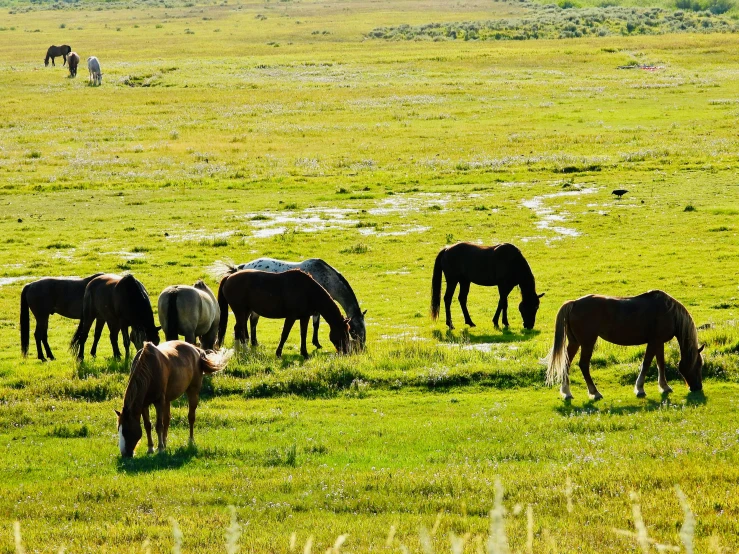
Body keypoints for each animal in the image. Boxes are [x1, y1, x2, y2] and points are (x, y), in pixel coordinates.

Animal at [211, 256, 368, 348]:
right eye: (354, 329)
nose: (362, 347)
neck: (325, 277)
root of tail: (241, 268)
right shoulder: (316, 309)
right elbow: (316, 325)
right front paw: (316, 343)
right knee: (250, 322)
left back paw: (252, 341)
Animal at [217, 268, 352, 358]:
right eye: (344, 333)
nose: (346, 352)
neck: (308, 291)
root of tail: (229, 277)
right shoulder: (291, 317)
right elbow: (285, 334)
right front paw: (278, 353)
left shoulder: (304, 317)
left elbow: (303, 334)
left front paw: (304, 353)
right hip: (240, 310)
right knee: (239, 328)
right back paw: (245, 350)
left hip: (246, 311)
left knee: (238, 328)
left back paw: (238, 350)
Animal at [548, 286, 704, 398]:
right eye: (698, 365)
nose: (698, 387)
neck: (669, 312)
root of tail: (574, 303)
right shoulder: (654, 342)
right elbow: (646, 363)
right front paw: (640, 389)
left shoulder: (659, 343)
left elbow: (660, 363)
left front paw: (664, 386)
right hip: (587, 343)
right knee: (584, 365)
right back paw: (595, 392)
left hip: (575, 343)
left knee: (567, 363)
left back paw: (567, 392)